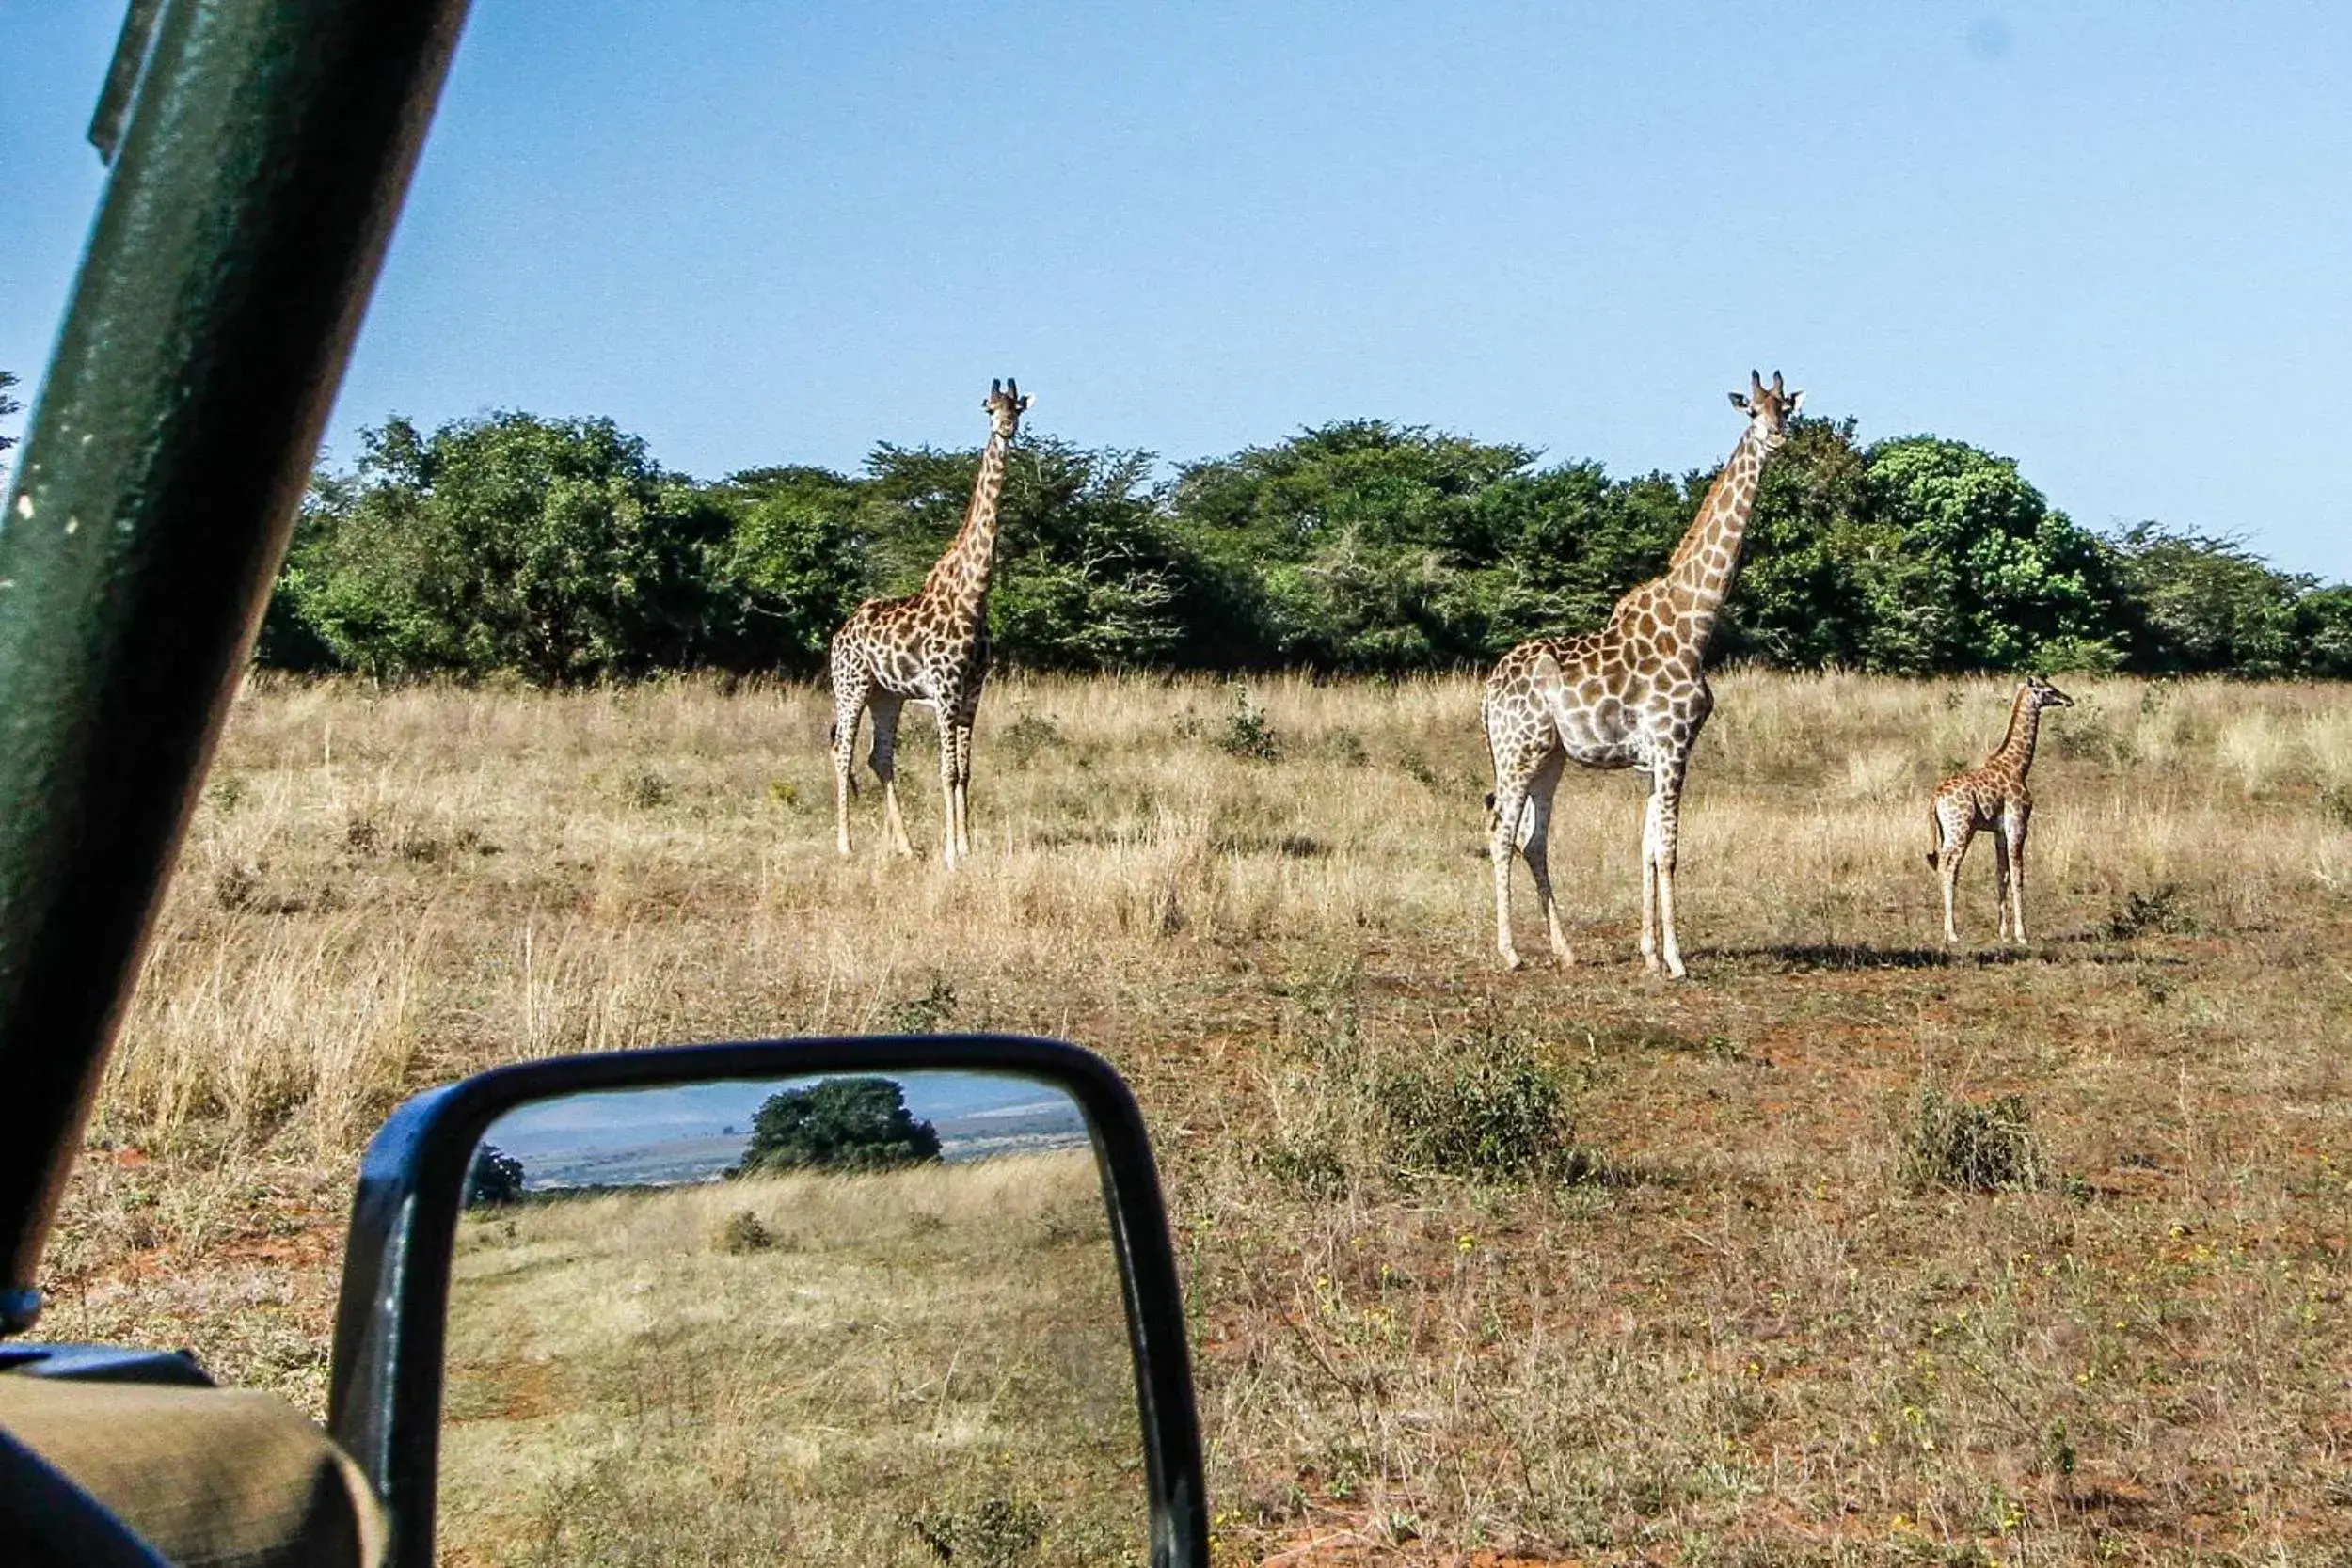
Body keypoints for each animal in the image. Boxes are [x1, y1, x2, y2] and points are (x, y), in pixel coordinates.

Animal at [828, 380, 1030, 869]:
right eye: (989, 408)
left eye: (1018, 408)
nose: (1006, 427)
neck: (973, 595)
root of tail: (838, 635)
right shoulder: (944, 687)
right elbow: (946, 769)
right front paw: (952, 854)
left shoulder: (974, 687)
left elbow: (965, 770)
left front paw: (967, 846)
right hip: (850, 686)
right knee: (842, 752)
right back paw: (844, 845)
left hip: (886, 695)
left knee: (879, 758)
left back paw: (904, 847)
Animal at [1477, 373, 1806, 973]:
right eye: (1751, 410)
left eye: (1786, 408)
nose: (1776, 437)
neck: (1693, 622)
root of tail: (1488, 691)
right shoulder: (1673, 746)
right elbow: (1670, 849)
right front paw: (1675, 960)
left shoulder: (1656, 758)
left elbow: (1649, 845)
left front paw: (1650, 953)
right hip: (1518, 750)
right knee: (1500, 831)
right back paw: (1510, 953)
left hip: (1551, 757)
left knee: (1533, 838)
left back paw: (1565, 950)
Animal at [1929, 676, 2079, 944]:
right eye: (2049, 690)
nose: (2069, 699)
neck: (2018, 766)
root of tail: (1936, 796)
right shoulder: (2018, 825)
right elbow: (2018, 876)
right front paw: (2022, 935)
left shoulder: (1999, 832)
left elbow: (2002, 875)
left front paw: (2003, 934)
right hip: (1961, 829)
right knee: (1949, 867)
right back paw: (1952, 933)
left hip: (1948, 831)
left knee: (1941, 865)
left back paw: (1947, 930)